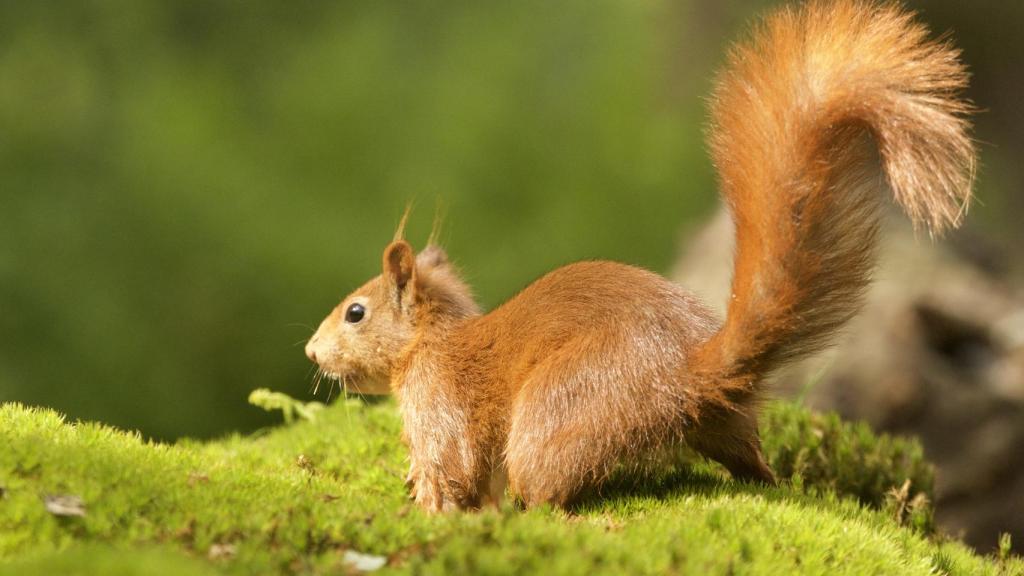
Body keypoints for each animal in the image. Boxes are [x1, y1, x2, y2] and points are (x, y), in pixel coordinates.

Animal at [304, 0, 976, 512]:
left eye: (355, 312)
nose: (310, 352)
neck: (432, 343)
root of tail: (685, 373)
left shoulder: (440, 402)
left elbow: (452, 467)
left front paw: (427, 504)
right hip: (722, 425)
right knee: (752, 463)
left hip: (559, 411)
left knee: (547, 488)